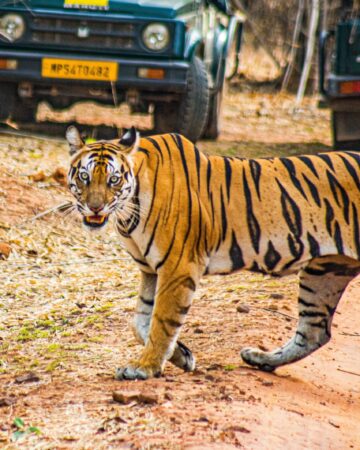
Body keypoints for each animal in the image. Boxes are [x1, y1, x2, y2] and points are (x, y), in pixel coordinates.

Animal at [65, 125, 360, 380]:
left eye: (113, 179)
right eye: (84, 177)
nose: (94, 207)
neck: (128, 211)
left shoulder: (178, 266)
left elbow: (162, 320)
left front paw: (144, 367)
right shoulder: (150, 270)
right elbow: (140, 323)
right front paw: (181, 356)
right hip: (325, 272)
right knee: (314, 333)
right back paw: (259, 358)